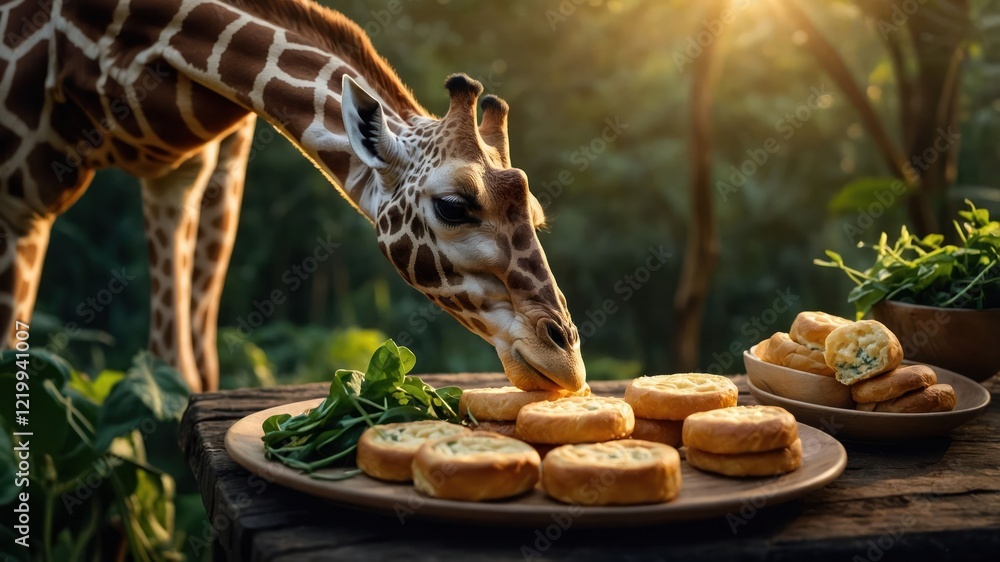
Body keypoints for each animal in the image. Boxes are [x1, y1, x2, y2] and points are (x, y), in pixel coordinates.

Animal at [0, 0, 586, 393]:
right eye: (454, 206)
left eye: (535, 215)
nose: (567, 362)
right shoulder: (19, 202)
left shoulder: (194, 171)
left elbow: (185, 371)